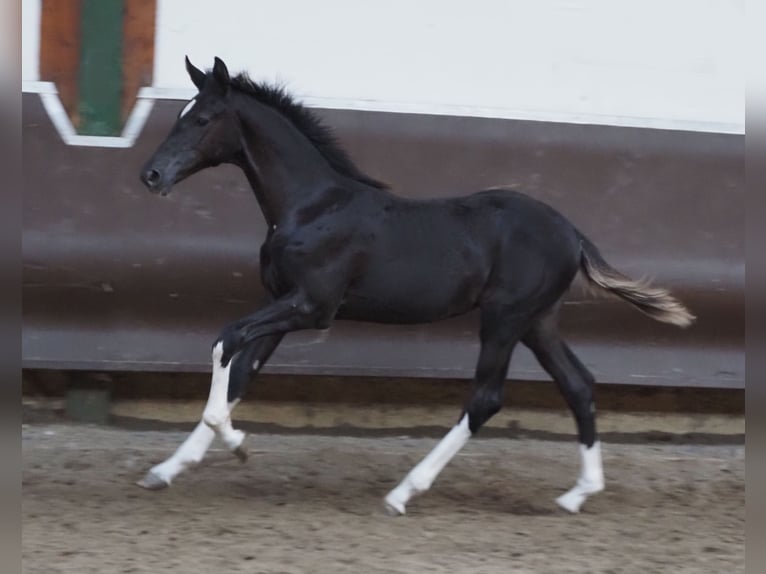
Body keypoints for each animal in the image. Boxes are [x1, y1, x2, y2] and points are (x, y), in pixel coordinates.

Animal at [138, 57, 696, 516]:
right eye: (180, 113)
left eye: (202, 119)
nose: (151, 174)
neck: (313, 207)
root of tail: (572, 233)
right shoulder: (279, 301)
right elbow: (241, 372)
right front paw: (169, 469)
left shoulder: (311, 306)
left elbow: (225, 341)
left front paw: (237, 444)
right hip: (538, 320)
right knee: (578, 384)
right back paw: (578, 494)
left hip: (505, 317)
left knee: (486, 398)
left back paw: (404, 492)